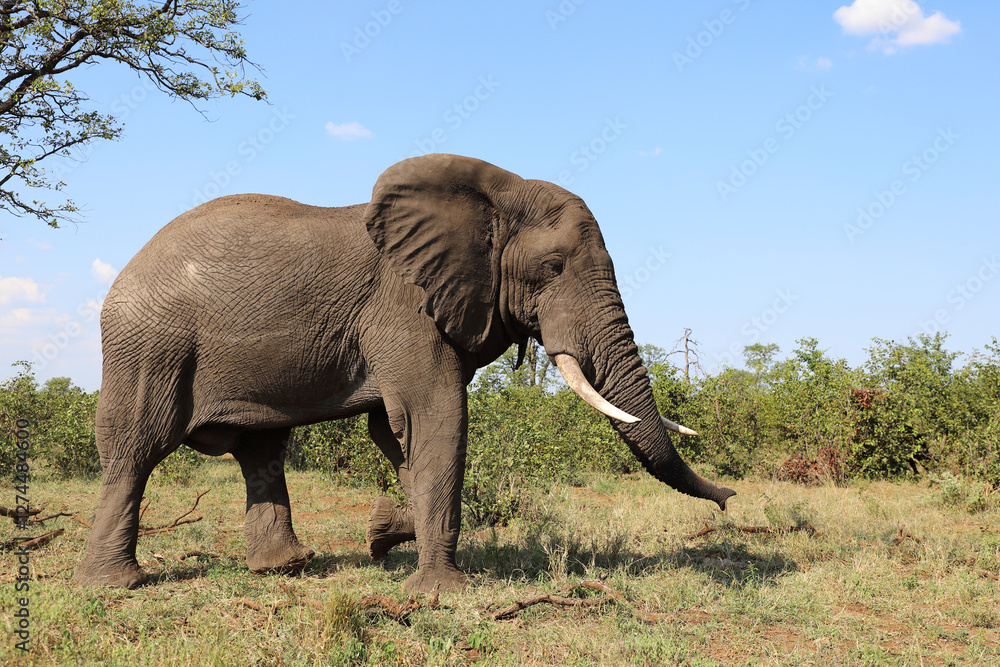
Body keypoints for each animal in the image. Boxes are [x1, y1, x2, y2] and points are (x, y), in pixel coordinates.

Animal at [73, 153, 735, 593]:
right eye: (552, 267)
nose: (730, 501)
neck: (496, 193)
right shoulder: (405, 310)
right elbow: (436, 419)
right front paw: (444, 592)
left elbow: (397, 437)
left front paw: (382, 530)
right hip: (150, 347)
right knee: (135, 448)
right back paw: (113, 586)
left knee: (261, 450)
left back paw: (285, 567)